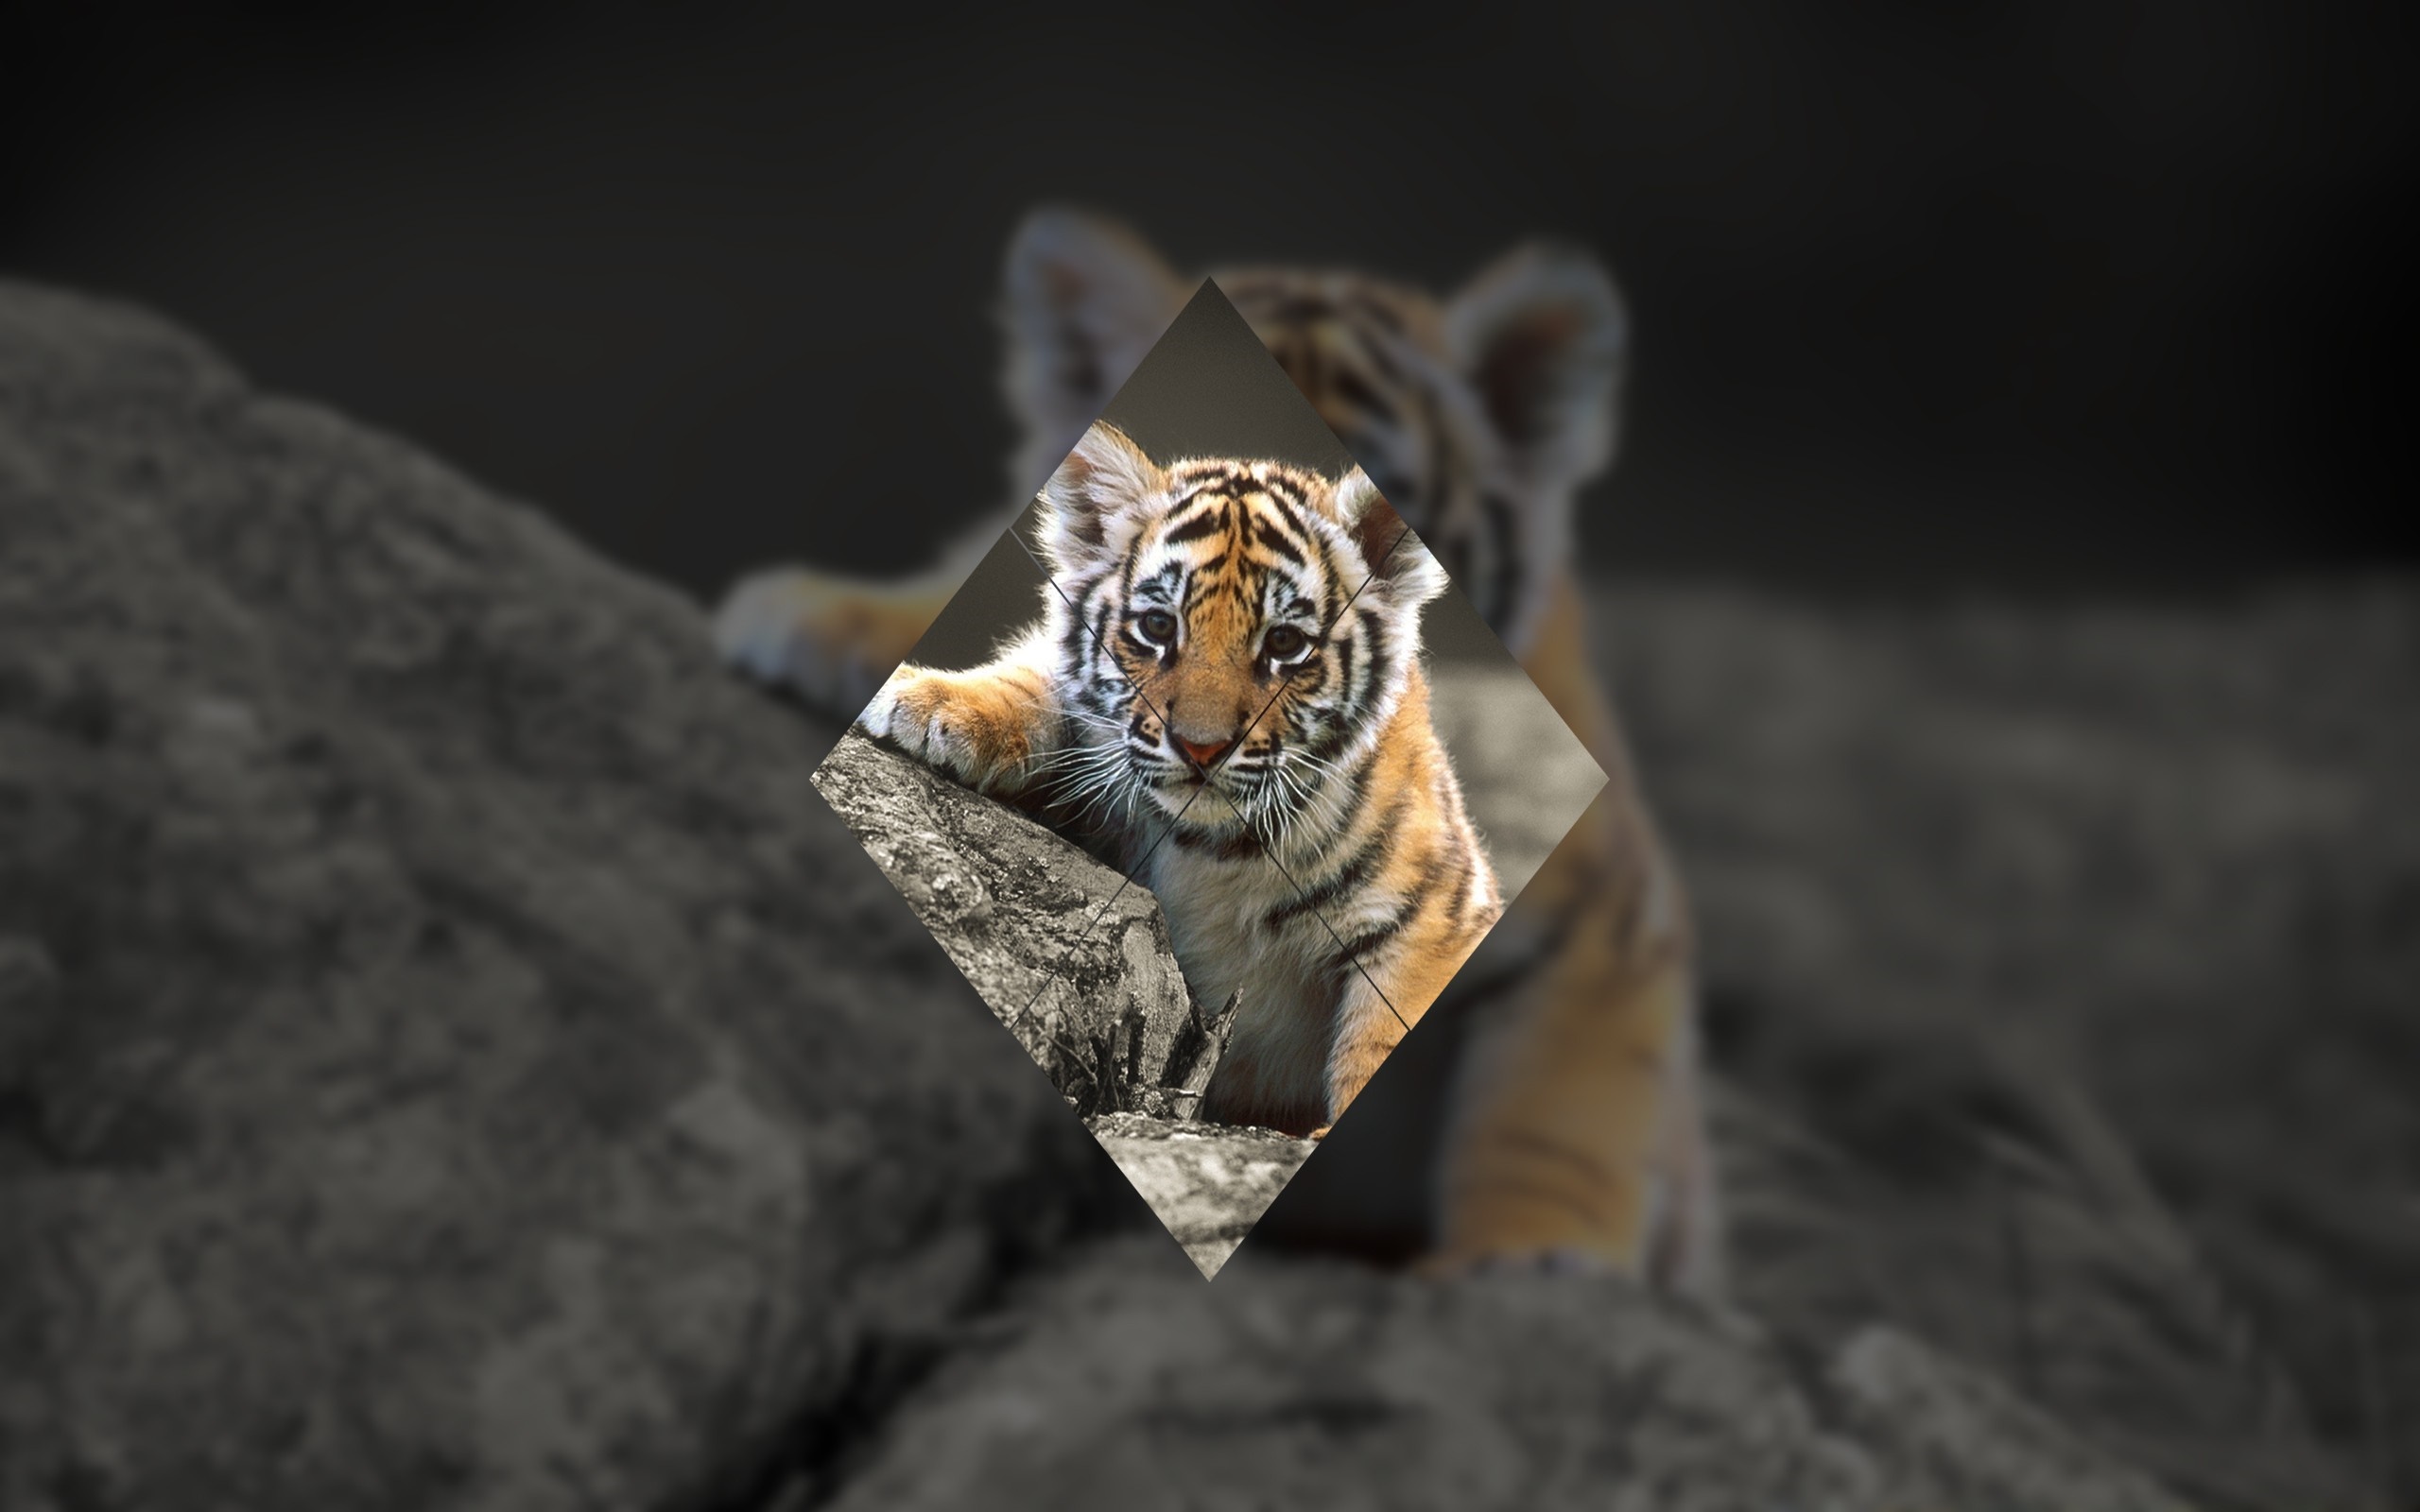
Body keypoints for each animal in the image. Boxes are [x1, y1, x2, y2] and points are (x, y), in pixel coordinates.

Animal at [862, 420, 1504, 1138]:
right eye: (1157, 626)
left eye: (1285, 644)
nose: (1202, 747)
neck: (1217, 849)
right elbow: (1042, 683)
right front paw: (929, 701)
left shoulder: (1436, 921)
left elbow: (1383, 1036)